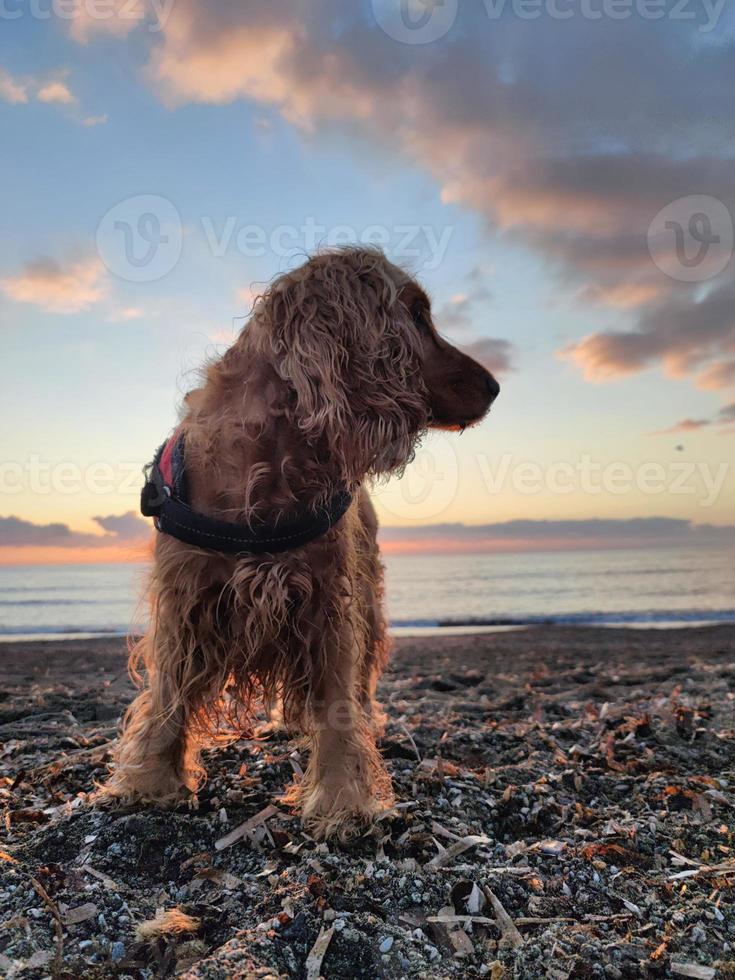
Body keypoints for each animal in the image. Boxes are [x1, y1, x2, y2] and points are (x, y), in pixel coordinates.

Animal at [100, 249, 498, 840]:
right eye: (416, 314)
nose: (495, 385)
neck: (272, 454)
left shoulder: (326, 600)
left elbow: (336, 705)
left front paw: (342, 799)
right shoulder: (186, 598)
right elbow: (169, 694)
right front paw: (151, 781)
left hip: (368, 602)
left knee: (359, 683)